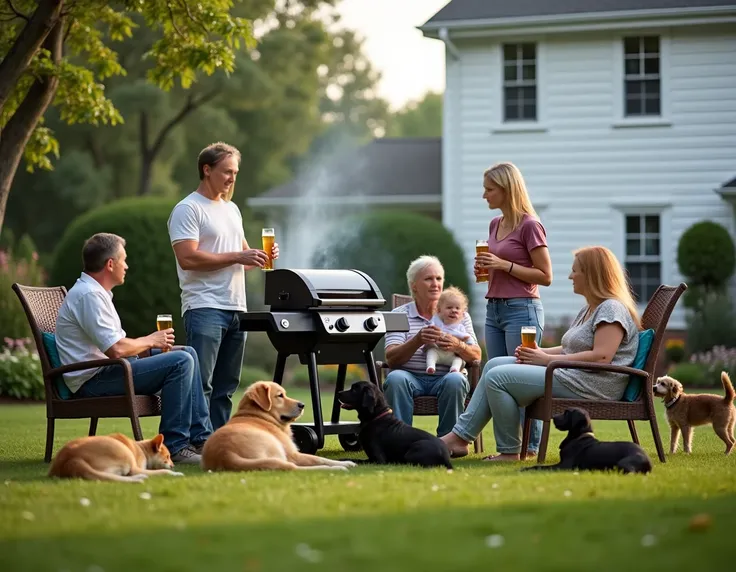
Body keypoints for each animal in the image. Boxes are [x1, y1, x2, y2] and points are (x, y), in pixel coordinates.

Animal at [48, 434, 184, 482]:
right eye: (167, 457)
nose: (173, 465)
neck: (141, 448)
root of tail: (72, 459)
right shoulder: (137, 467)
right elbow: (163, 471)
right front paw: (175, 473)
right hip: (124, 453)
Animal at [203, 382, 358, 472]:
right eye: (280, 395)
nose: (302, 405)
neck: (258, 415)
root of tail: (226, 454)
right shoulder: (294, 454)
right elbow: (318, 458)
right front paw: (343, 464)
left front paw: (347, 462)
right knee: (294, 468)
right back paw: (336, 468)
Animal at [520, 406, 652, 474]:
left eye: (567, 413)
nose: (554, 417)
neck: (578, 436)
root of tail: (648, 462)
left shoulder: (565, 466)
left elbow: (541, 467)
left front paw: (526, 469)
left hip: (623, 463)